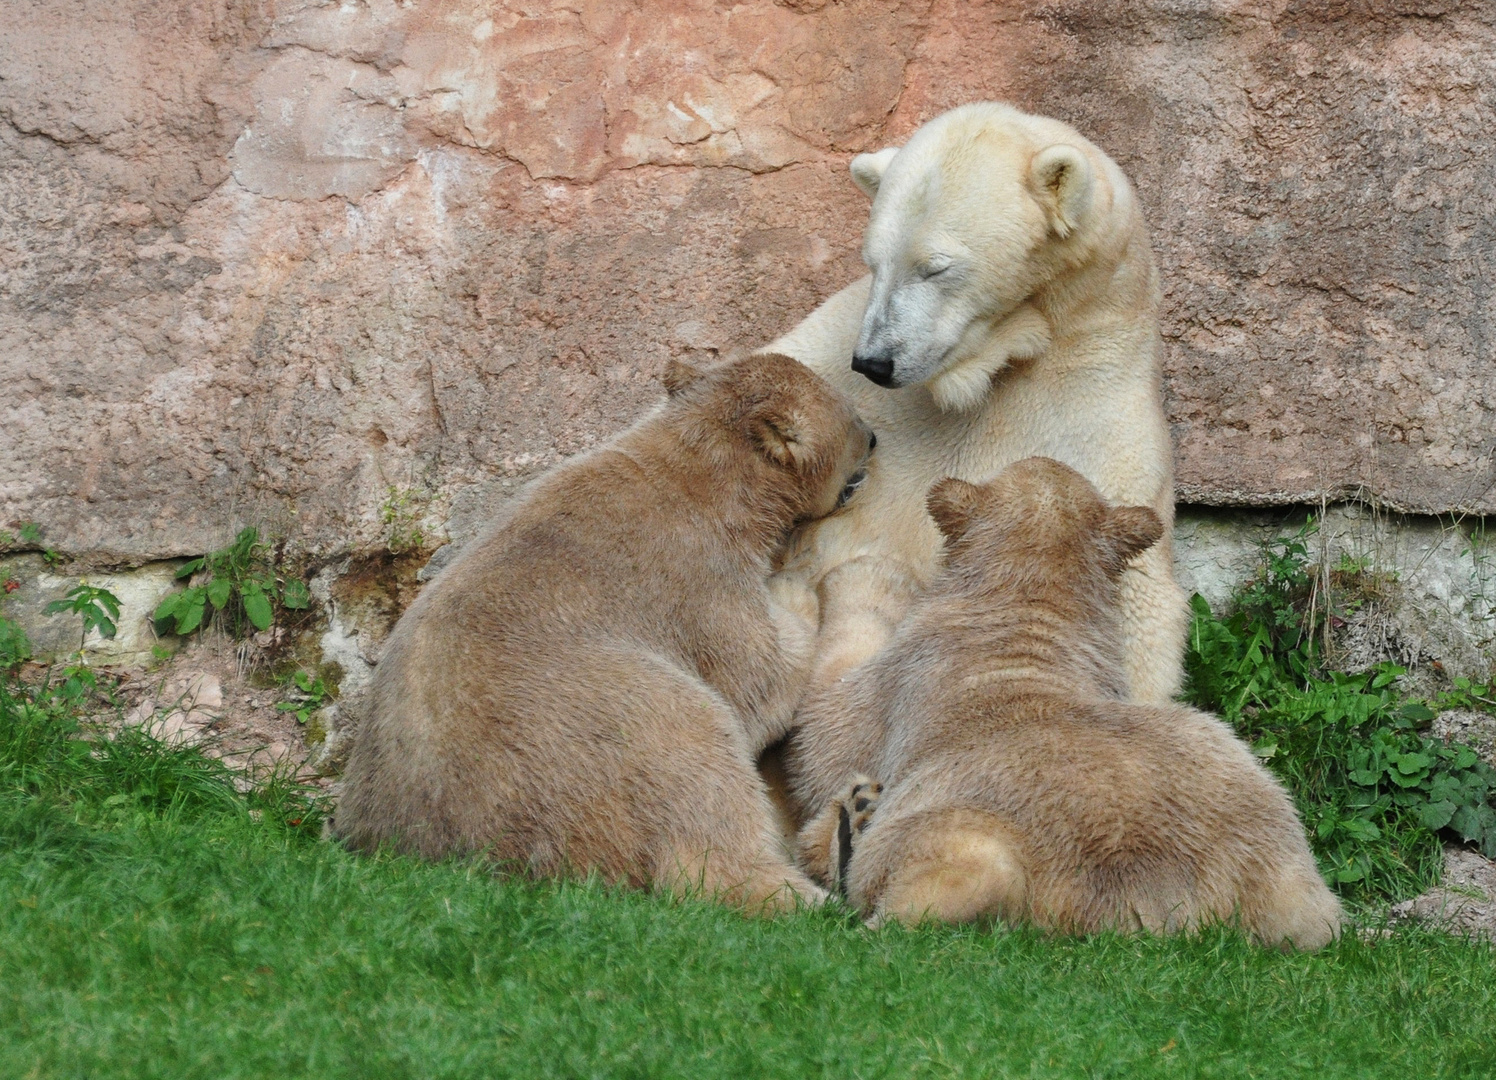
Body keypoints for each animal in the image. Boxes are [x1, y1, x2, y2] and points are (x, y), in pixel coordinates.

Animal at [765, 100, 1184, 703]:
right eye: (873, 261)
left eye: (935, 266)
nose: (874, 362)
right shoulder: (829, 360)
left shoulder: (1091, 414)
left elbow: (1130, 590)